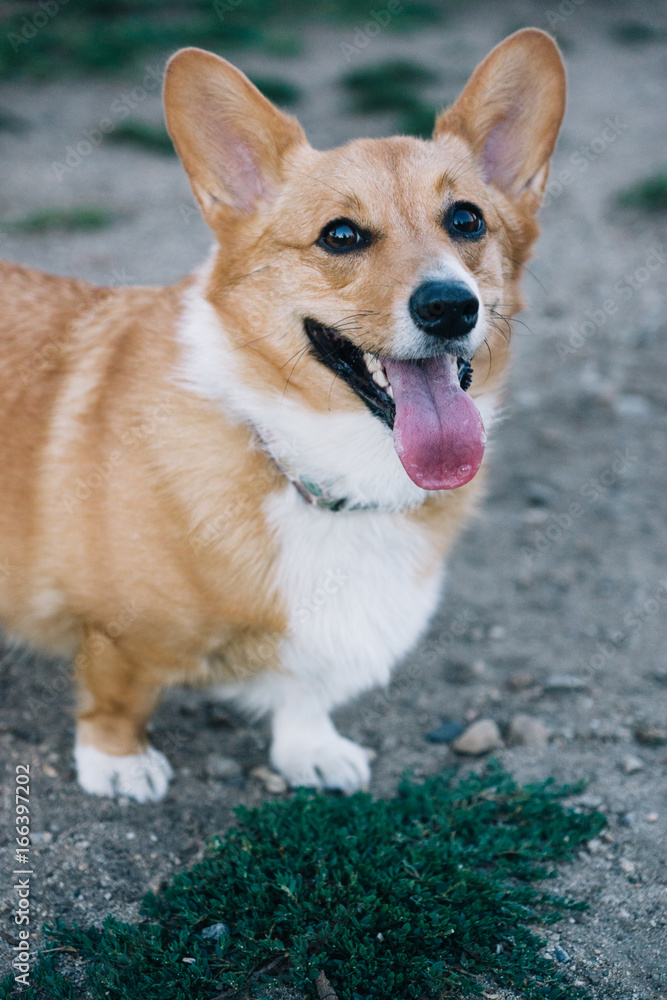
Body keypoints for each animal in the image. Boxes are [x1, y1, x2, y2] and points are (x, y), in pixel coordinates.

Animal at [0, 27, 564, 800]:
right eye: (340, 235)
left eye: (466, 220)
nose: (450, 306)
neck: (323, 472)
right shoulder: (117, 635)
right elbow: (119, 696)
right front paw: (118, 764)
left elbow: (306, 693)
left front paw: (311, 750)